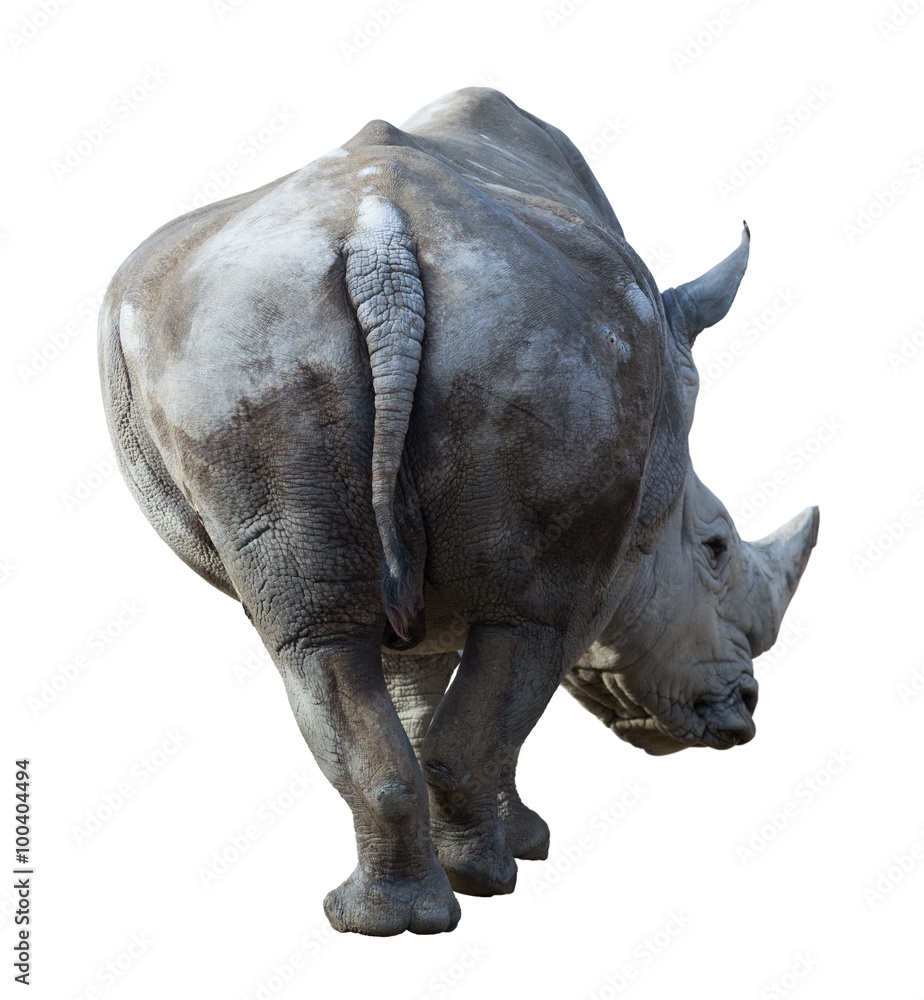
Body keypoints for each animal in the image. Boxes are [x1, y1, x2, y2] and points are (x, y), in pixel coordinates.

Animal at [98, 87, 818, 936]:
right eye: (715, 548)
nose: (743, 713)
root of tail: (378, 236)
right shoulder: (610, 557)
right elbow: (510, 676)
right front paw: (521, 841)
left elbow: (413, 683)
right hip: (532, 329)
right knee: (521, 624)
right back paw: (483, 881)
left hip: (247, 334)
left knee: (313, 640)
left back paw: (378, 920)